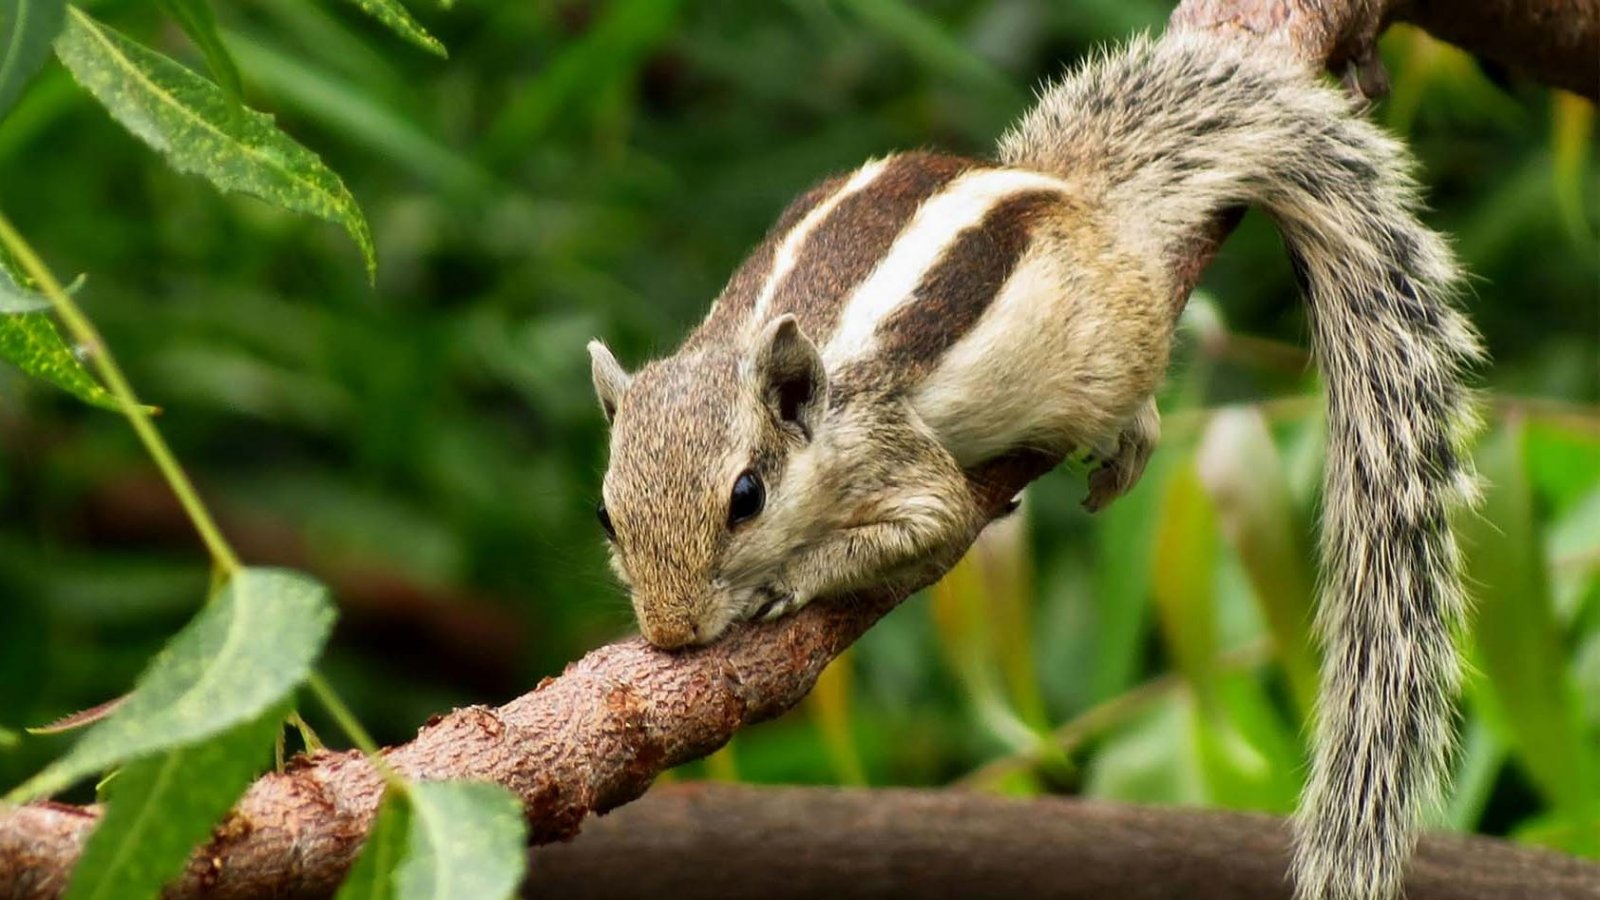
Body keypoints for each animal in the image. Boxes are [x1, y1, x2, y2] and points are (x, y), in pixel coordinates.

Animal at [582, 28, 1478, 896]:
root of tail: (1070, 189)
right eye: (605, 514)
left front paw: (788, 580)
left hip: (1109, 348)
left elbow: (934, 522)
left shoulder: (892, 451)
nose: (670, 632)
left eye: (747, 497)